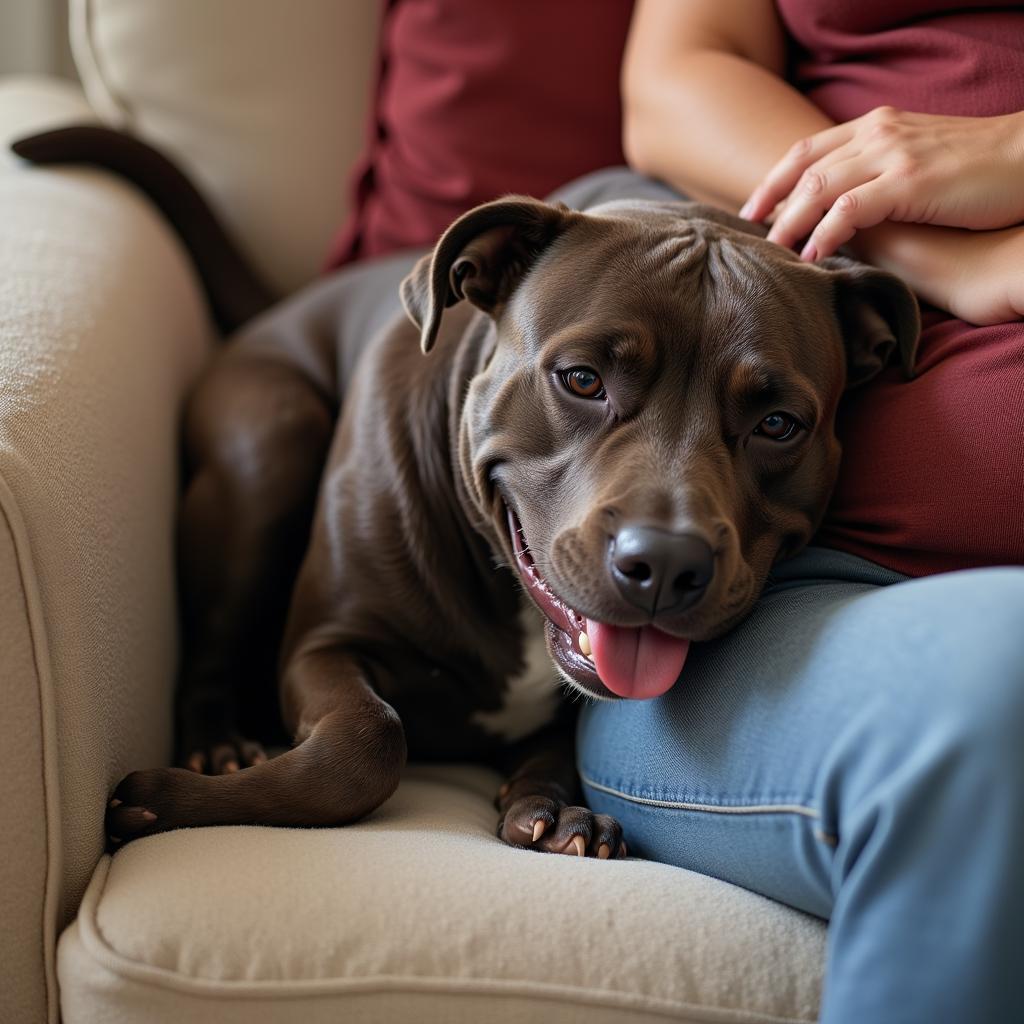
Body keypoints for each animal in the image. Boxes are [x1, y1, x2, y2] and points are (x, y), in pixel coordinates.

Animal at [16, 132, 917, 860]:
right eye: (581, 379)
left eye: (777, 423)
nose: (663, 563)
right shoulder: (322, 643)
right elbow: (369, 739)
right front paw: (164, 801)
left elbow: (555, 747)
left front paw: (553, 811)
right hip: (270, 443)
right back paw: (217, 746)